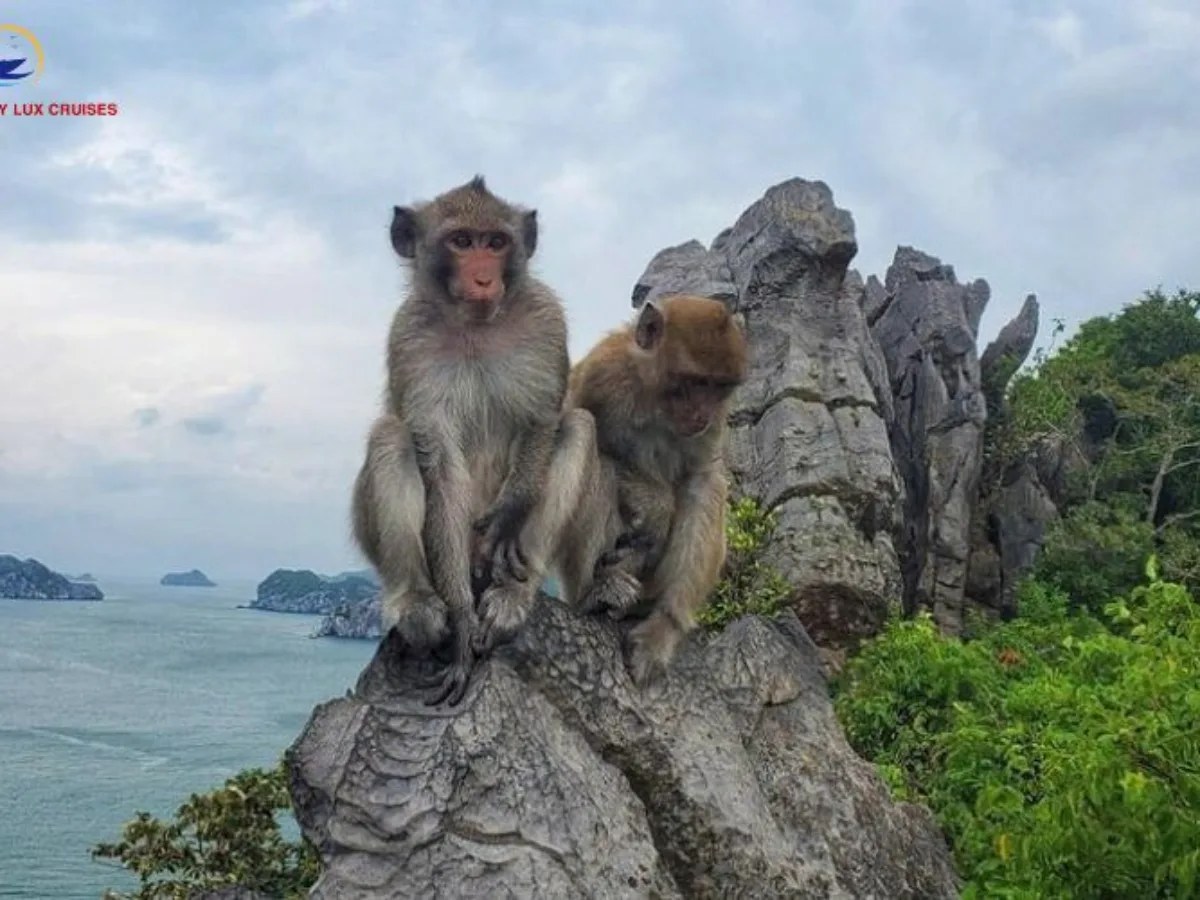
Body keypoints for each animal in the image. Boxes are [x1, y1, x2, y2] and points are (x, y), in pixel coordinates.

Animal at [351, 175, 582, 706]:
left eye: (495, 243)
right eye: (461, 241)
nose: (482, 279)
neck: (476, 325)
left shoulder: (546, 320)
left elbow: (544, 419)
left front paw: (511, 511)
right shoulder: (409, 338)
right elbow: (438, 465)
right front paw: (459, 622)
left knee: (578, 426)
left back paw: (513, 597)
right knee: (392, 437)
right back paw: (418, 603)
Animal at [552, 294, 748, 685]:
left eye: (718, 387)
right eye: (695, 382)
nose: (702, 413)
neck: (654, 399)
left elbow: (699, 474)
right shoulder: (602, 374)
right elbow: (580, 430)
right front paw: (656, 507)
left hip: (652, 582)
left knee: (705, 487)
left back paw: (663, 624)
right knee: (595, 451)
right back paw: (595, 593)